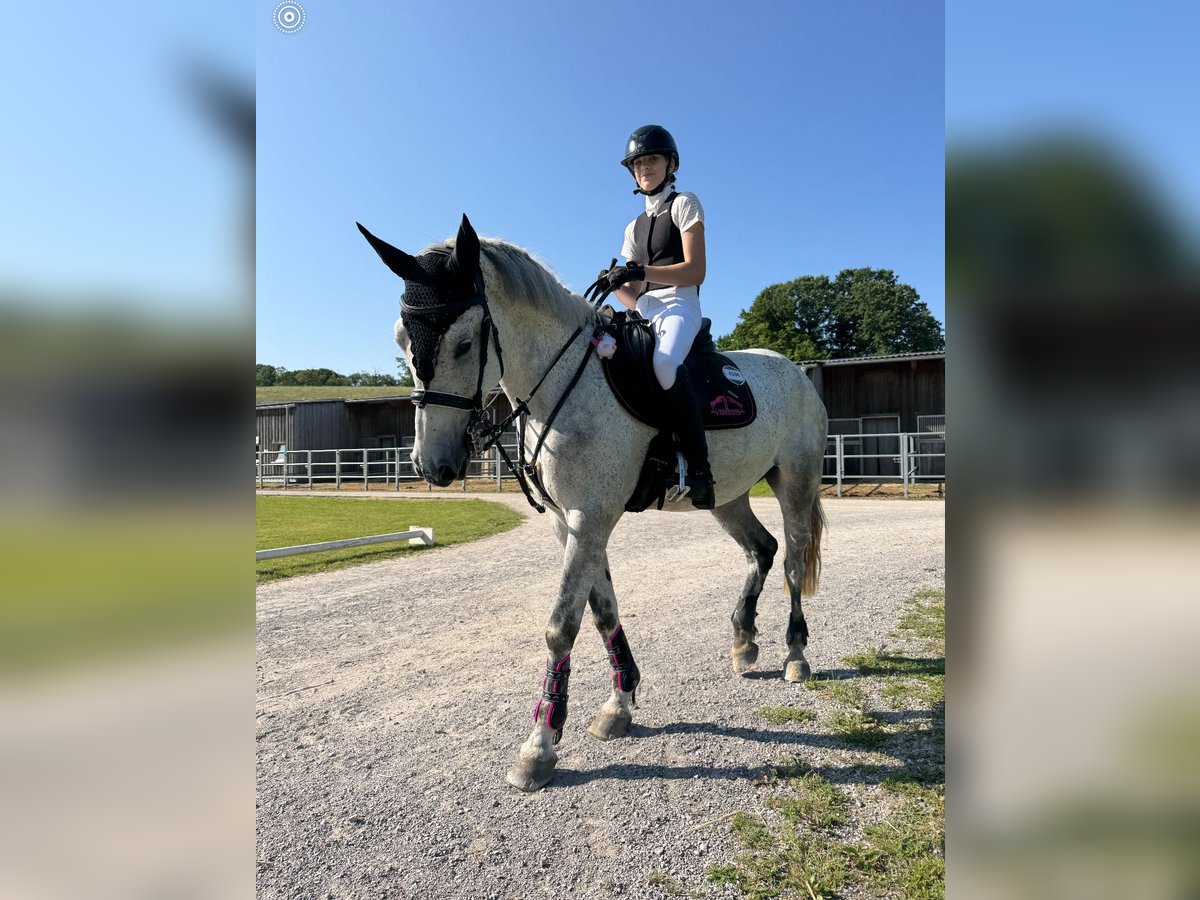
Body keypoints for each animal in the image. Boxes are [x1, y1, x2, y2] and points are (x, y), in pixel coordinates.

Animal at [358, 214, 828, 792]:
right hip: (727, 495)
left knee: (792, 560)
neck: (564, 382)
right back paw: (743, 641)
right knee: (760, 550)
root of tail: (794, 369)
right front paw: (618, 705)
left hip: (795, 482)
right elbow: (603, 612)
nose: (432, 465)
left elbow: (561, 625)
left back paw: (796, 655)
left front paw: (539, 746)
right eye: (402, 338)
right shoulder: (573, 522)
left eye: (465, 345)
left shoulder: (591, 518)